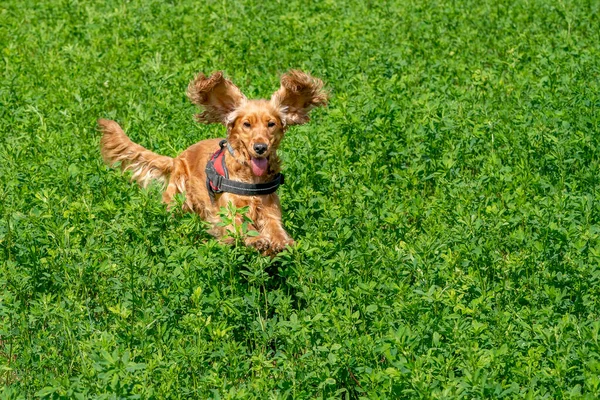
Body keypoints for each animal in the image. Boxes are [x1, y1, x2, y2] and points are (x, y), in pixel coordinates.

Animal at [98, 69, 326, 255]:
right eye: (246, 124)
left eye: (271, 124)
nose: (260, 148)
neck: (250, 179)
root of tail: (176, 158)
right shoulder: (228, 211)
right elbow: (241, 225)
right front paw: (258, 240)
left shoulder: (270, 208)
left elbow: (275, 227)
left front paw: (282, 241)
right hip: (179, 196)